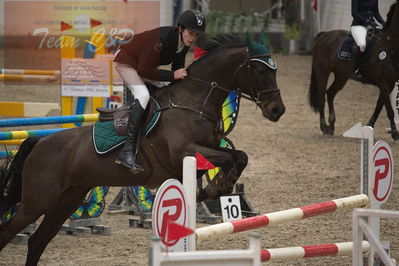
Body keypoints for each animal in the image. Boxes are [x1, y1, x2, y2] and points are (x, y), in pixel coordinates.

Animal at [0, 33, 288, 264]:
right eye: (260, 71)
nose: (277, 110)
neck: (193, 101)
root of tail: (39, 142)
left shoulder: (206, 149)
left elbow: (239, 156)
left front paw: (216, 189)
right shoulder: (184, 152)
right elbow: (228, 159)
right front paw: (216, 188)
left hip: (67, 200)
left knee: (37, 240)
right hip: (38, 201)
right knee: (10, 231)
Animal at [310, 0, 399, 140]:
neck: (388, 47)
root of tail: (324, 35)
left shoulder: (388, 85)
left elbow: (378, 107)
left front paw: (369, 127)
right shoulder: (383, 84)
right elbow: (389, 110)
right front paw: (395, 133)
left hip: (341, 76)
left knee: (330, 93)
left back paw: (331, 125)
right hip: (322, 72)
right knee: (321, 97)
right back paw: (324, 127)